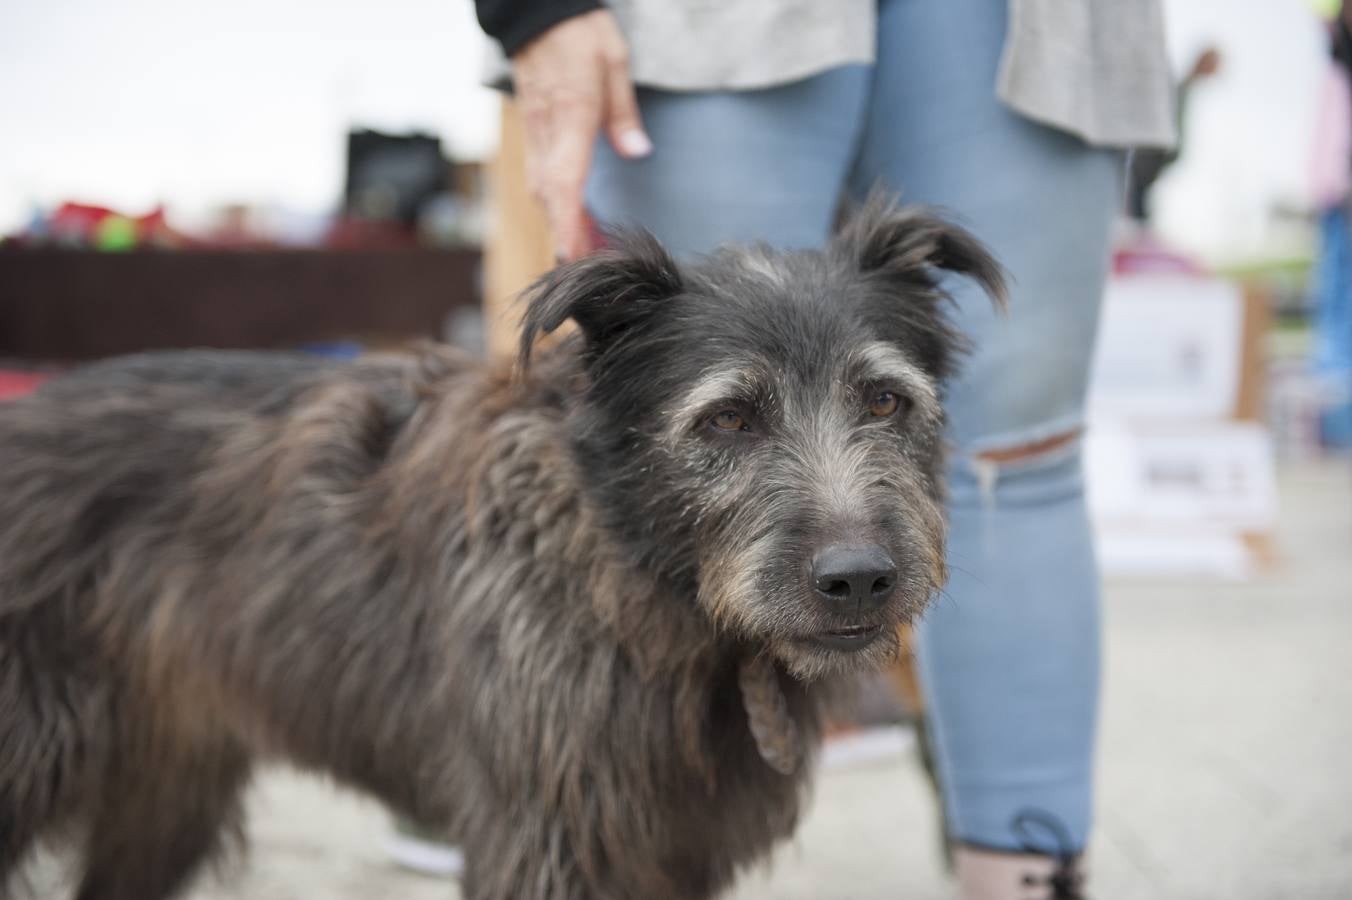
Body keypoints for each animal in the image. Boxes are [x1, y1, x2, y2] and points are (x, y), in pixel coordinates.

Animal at [2, 198, 1005, 897]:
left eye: (884, 401)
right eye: (728, 418)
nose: (859, 580)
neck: (631, 574)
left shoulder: (677, 848)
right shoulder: (550, 843)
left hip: (164, 794)